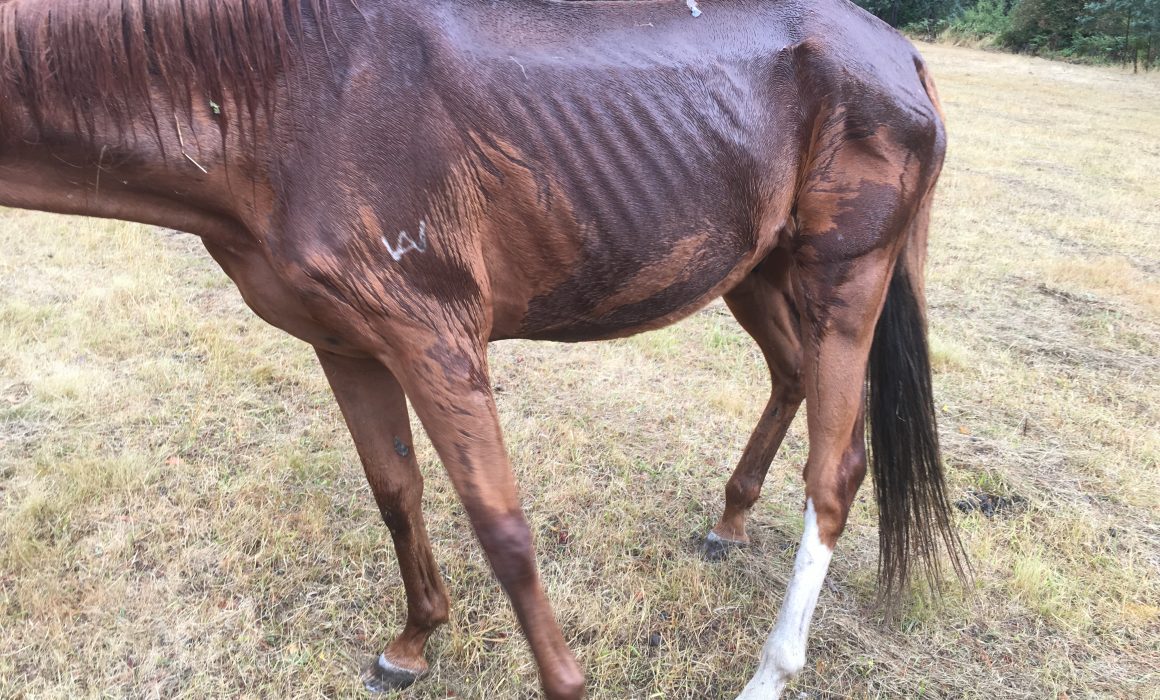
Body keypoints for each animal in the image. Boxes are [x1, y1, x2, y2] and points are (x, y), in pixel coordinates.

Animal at [0, 0, 965, 696]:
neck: (280, 89)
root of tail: (897, 52)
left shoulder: (435, 337)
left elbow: (502, 528)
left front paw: (561, 682)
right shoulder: (346, 344)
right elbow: (397, 494)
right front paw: (412, 643)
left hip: (844, 279)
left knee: (835, 473)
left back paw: (769, 673)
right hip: (755, 271)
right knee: (790, 376)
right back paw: (729, 520)